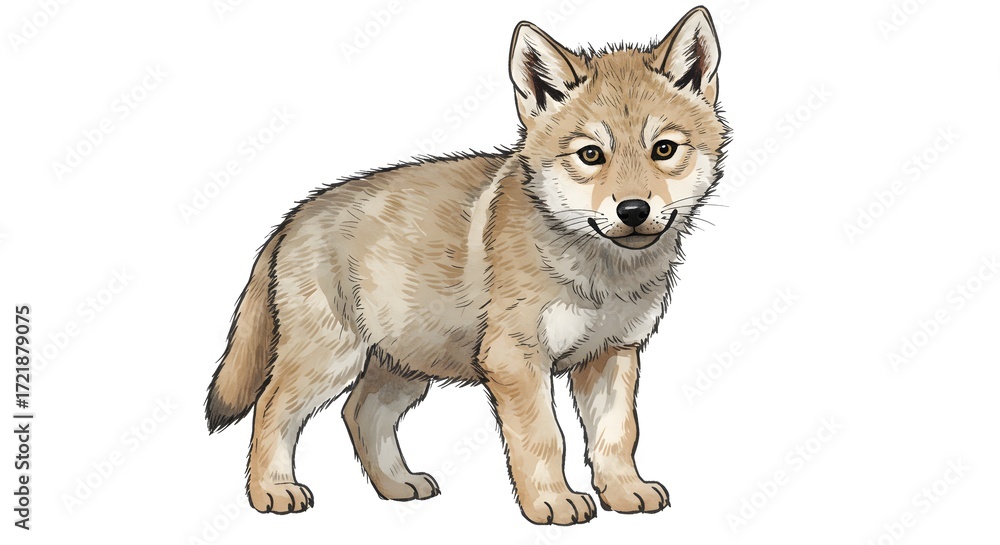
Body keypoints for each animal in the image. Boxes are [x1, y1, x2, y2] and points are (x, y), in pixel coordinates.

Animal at [206, 6, 729, 525]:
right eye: (590, 155)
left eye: (664, 149)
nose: (634, 211)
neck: (601, 273)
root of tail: (295, 215)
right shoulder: (516, 359)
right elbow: (545, 437)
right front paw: (552, 502)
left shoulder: (613, 354)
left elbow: (616, 436)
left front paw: (624, 493)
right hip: (331, 358)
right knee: (272, 409)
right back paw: (273, 491)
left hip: (403, 367)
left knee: (359, 413)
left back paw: (398, 485)